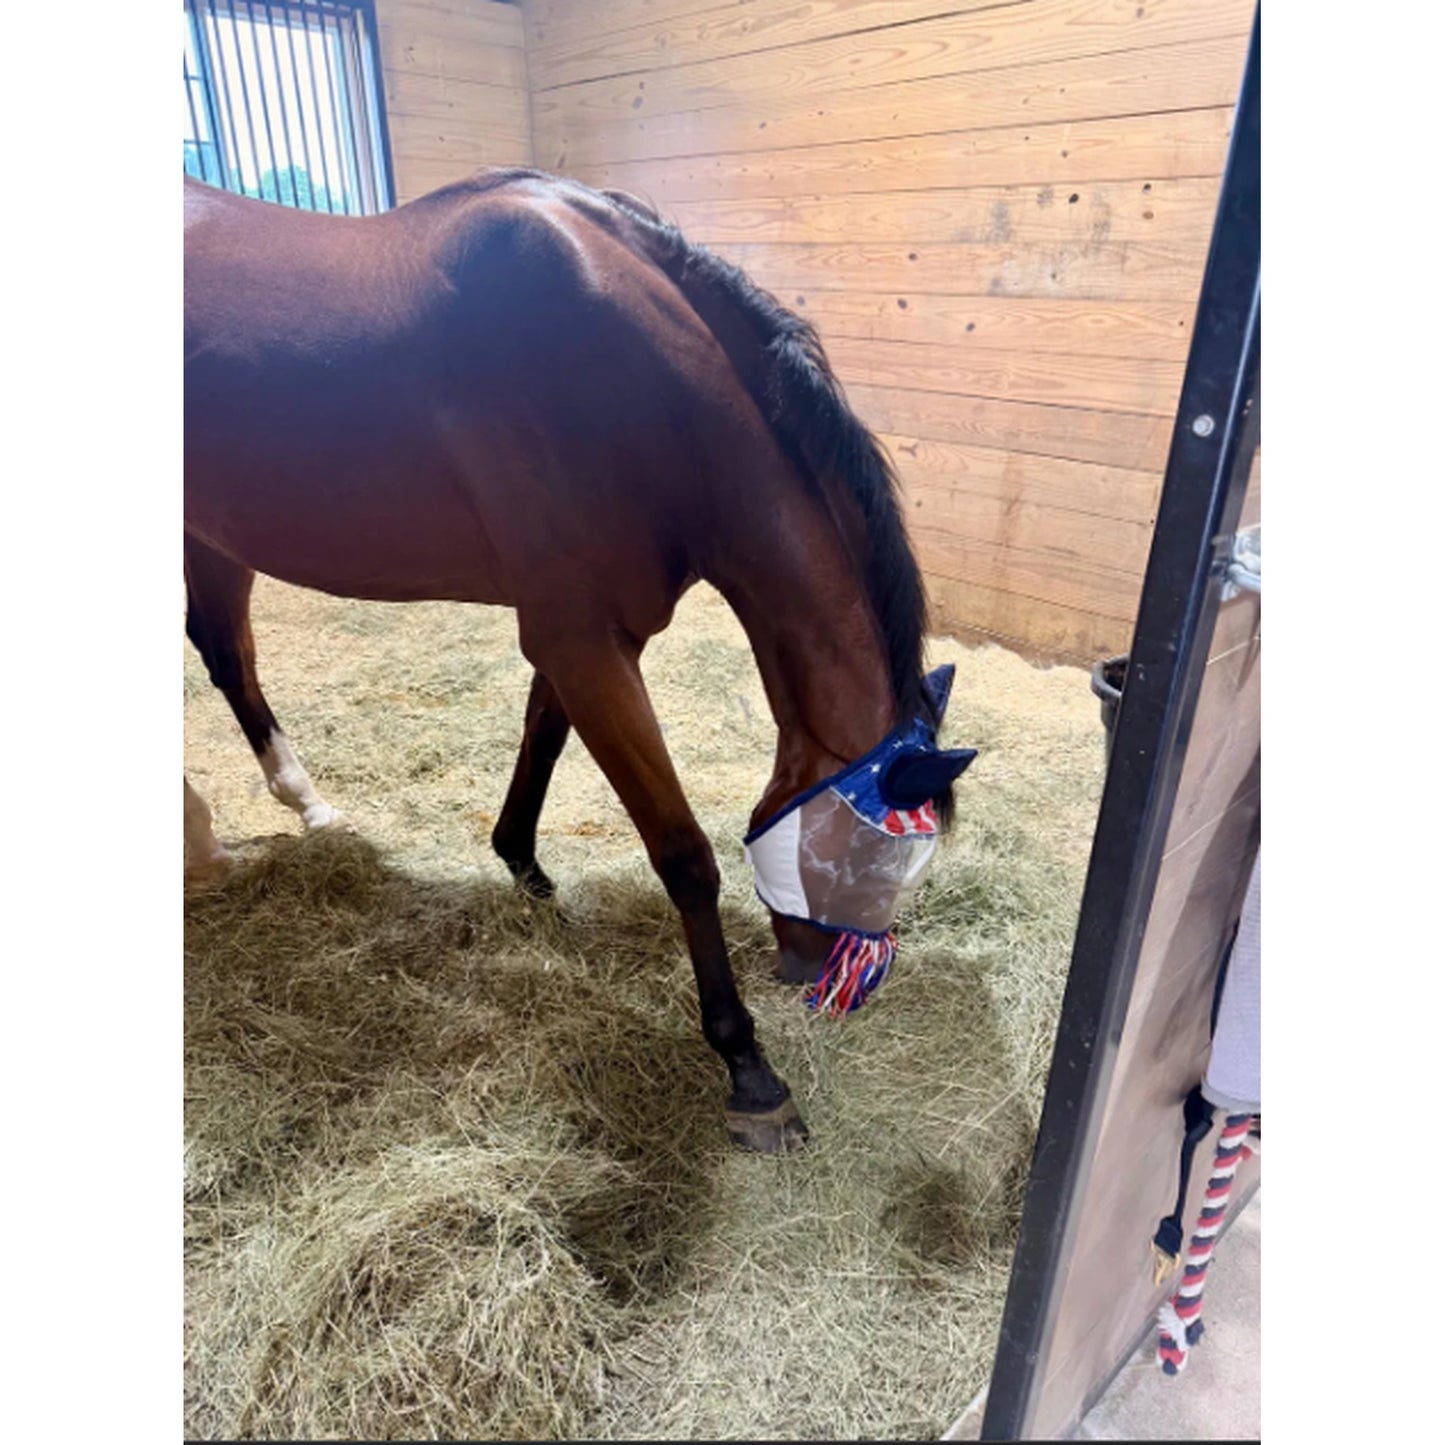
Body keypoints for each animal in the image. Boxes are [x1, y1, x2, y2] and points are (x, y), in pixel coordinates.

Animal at [183, 167, 973, 1152]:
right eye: (869, 863)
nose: (822, 969)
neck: (643, 383)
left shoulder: (580, 633)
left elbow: (542, 736)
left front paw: (521, 863)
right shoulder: (580, 638)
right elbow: (682, 853)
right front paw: (747, 1067)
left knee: (226, 657)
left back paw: (302, 807)